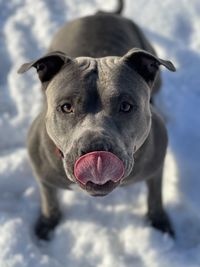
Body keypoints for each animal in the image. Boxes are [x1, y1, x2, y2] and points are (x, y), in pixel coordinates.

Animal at [18, 0, 176, 241]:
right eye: (66, 107)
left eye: (126, 106)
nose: (96, 152)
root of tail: (99, 13)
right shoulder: (43, 174)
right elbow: (49, 198)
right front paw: (48, 222)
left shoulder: (156, 166)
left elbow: (155, 194)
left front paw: (159, 220)